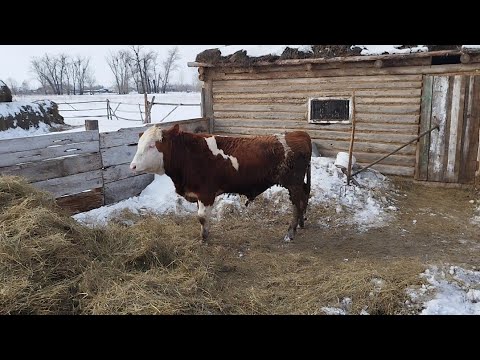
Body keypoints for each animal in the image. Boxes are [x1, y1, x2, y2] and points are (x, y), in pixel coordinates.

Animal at [129, 124, 314, 242]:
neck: (189, 155)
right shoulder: (198, 195)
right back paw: (300, 224)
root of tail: (299, 133)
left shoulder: (206, 193)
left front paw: (204, 238)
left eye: (152, 145)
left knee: (297, 204)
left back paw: (290, 233)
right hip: (298, 183)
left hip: (293, 183)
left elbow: (202, 217)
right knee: (304, 198)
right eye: (138, 145)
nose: (133, 166)